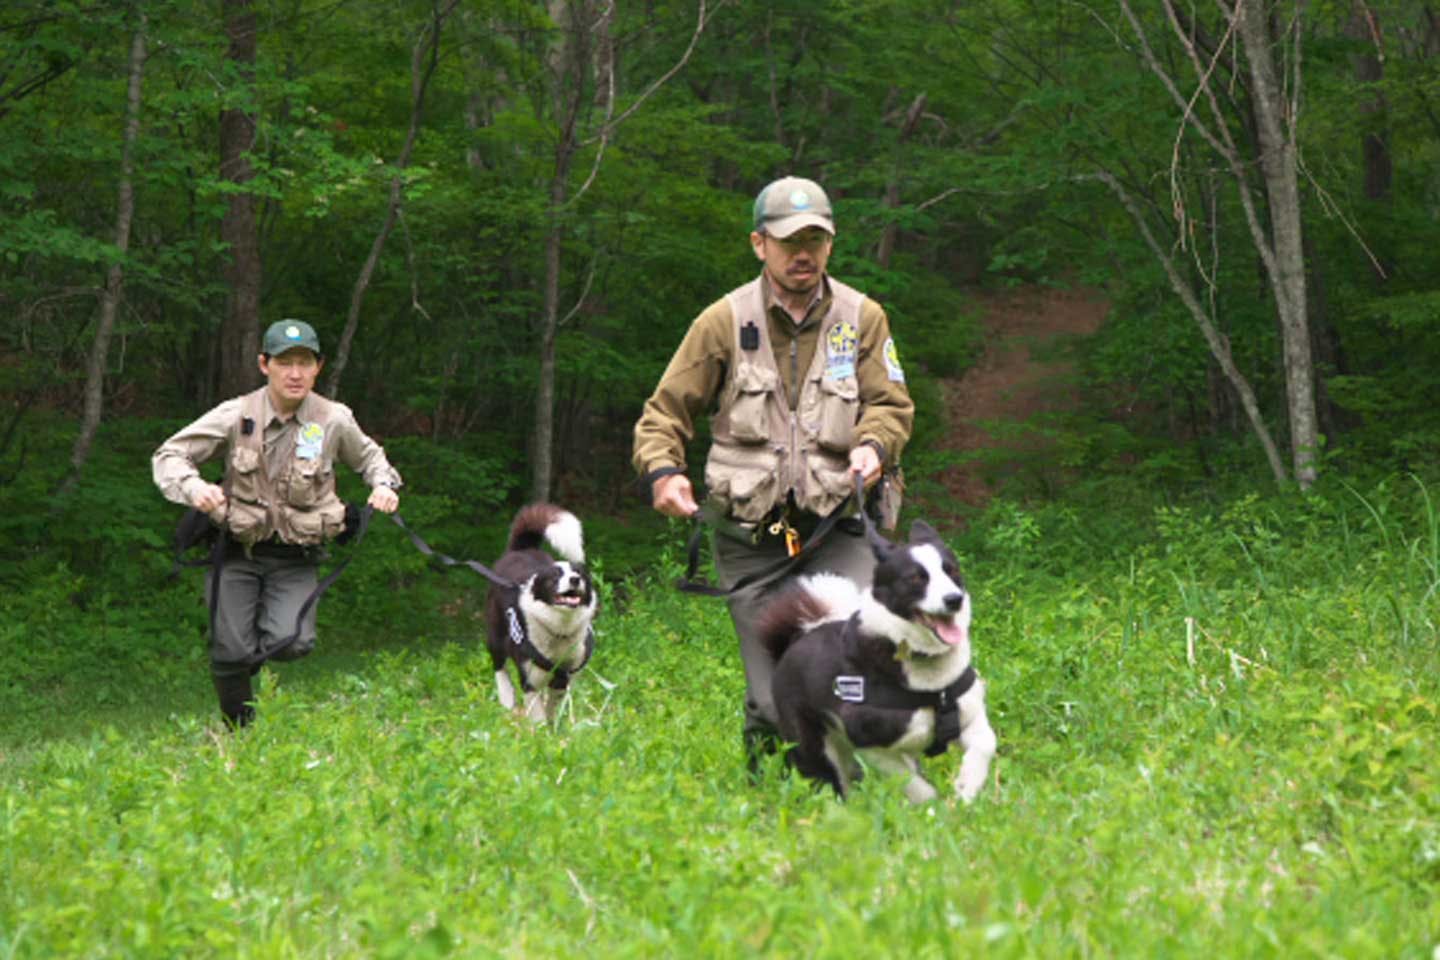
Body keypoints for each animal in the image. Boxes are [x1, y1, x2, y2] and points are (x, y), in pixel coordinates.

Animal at [483, 506, 596, 725]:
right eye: (555, 576)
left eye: (579, 573)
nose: (575, 579)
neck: (560, 629)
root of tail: (520, 549)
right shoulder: (530, 679)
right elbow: (537, 715)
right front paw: (542, 731)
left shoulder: (563, 676)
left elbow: (552, 707)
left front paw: (554, 727)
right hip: (496, 633)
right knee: (499, 666)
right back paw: (506, 696)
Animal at [754, 518, 1002, 805]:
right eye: (916, 578)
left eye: (951, 571)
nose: (954, 600)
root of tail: (796, 638)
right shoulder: (867, 740)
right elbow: (907, 780)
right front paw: (931, 805)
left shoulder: (968, 715)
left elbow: (987, 743)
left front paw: (966, 788)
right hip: (815, 747)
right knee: (831, 785)